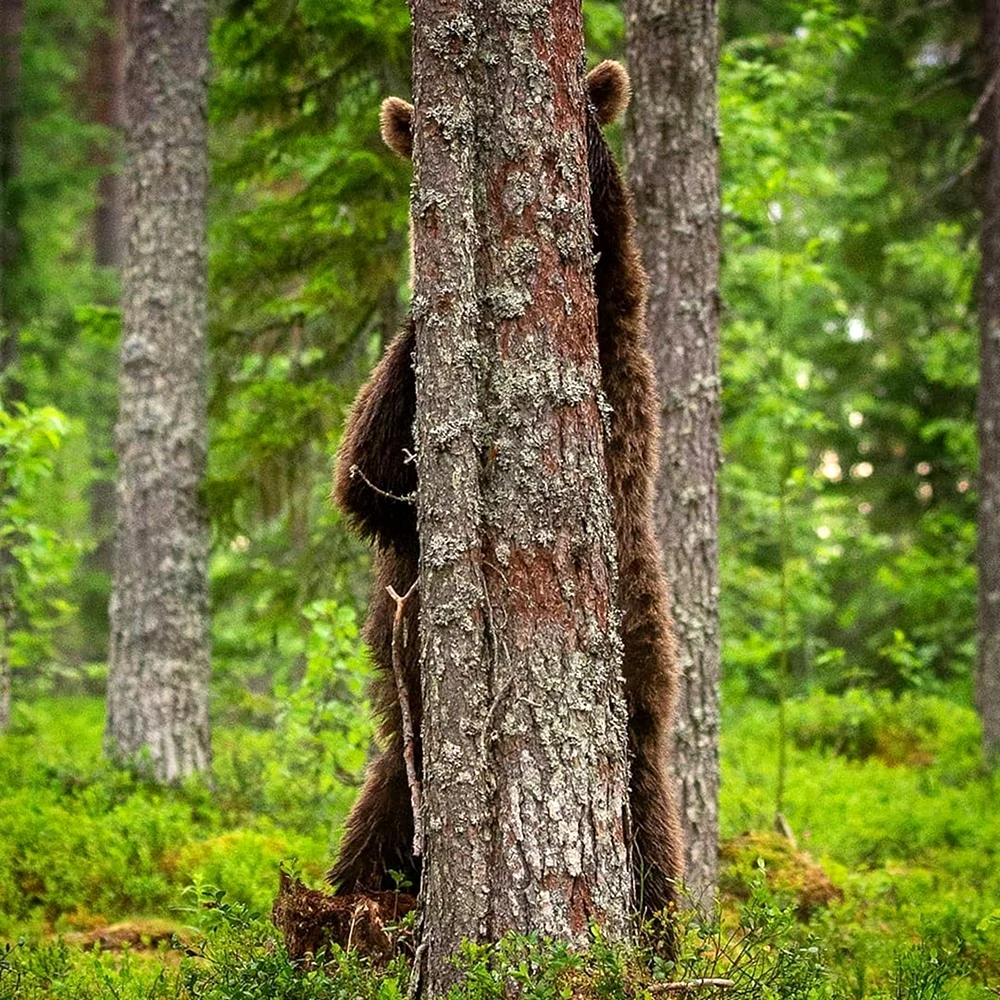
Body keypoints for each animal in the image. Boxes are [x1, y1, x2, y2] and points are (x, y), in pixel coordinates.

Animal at [326, 60, 680, 920]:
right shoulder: (395, 486)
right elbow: (369, 476)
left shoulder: (613, 384)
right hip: (404, 767)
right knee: (371, 838)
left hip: (635, 738)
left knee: (653, 850)